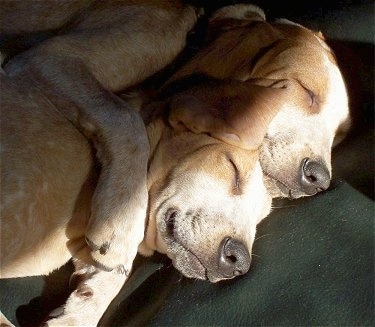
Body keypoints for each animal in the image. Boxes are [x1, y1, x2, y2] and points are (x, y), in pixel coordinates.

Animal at [1, 2, 352, 327]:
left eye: (338, 134)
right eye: (306, 91)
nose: (320, 178)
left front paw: (84, 304)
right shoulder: (51, 58)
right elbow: (124, 120)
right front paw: (120, 223)